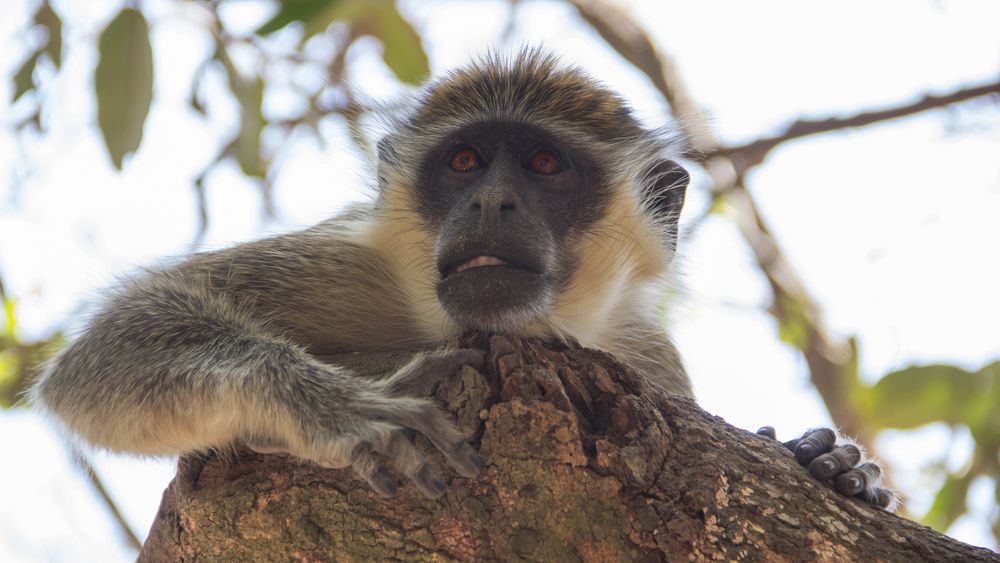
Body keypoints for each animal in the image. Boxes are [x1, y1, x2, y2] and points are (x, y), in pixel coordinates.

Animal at [29, 49, 892, 506]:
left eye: (543, 164)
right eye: (465, 161)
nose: (491, 200)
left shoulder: (640, 346)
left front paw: (831, 462)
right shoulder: (352, 262)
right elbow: (106, 349)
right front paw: (335, 406)